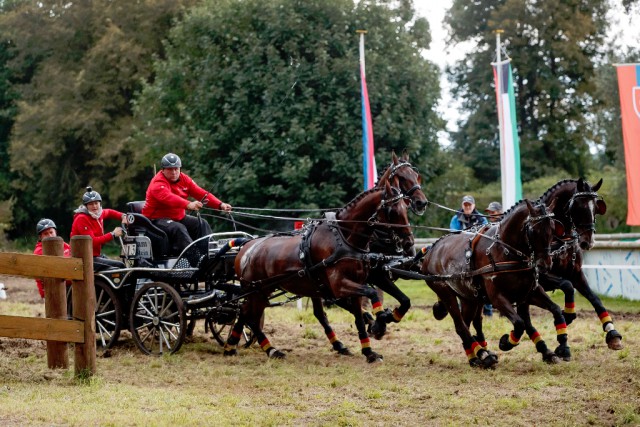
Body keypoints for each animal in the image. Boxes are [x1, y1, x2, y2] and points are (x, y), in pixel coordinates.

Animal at [225, 179, 412, 362]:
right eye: (392, 210)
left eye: (406, 207)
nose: (409, 242)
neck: (345, 239)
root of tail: (246, 247)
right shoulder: (339, 286)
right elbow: (372, 294)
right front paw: (380, 323)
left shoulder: (357, 283)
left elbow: (363, 316)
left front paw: (369, 351)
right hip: (258, 291)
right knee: (250, 315)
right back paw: (270, 350)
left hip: (263, 291)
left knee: (246, 313)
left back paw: (233, 345)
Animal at [422, 199, 568, 370]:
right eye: (533, 231)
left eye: (553, 228)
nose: (545, 264)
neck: (505, 250)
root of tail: (431, 251)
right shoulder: (497, 297)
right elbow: (520, 323)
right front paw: (506, 342)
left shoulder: (529, 292)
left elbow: (555, 310)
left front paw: (561, 348)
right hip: (445, 292)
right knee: (460, 326)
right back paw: (483, 355)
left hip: (469, 298)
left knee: (467, 323)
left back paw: (474, 357)